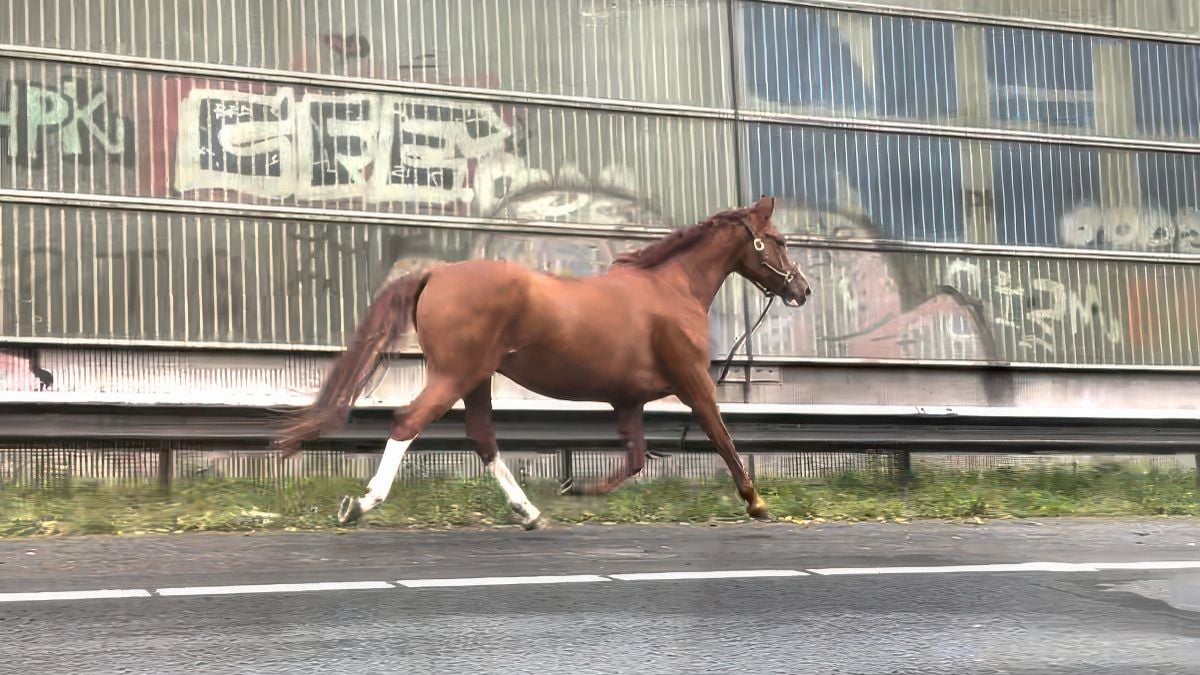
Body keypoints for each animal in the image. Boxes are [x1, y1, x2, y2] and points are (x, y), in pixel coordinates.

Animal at [276, 196, 811, 528]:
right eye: (780, 240)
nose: (802, 290)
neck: (671, 288)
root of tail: (435, 274)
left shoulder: (628, 400)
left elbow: (636, 458)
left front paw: (578, 490)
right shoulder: (694, 381)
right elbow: (722, 438)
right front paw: (757, 503)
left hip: (475, 379)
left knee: (482, 438)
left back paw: (530, 512)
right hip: (455, 374)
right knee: (409, 421)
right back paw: (361, 504)